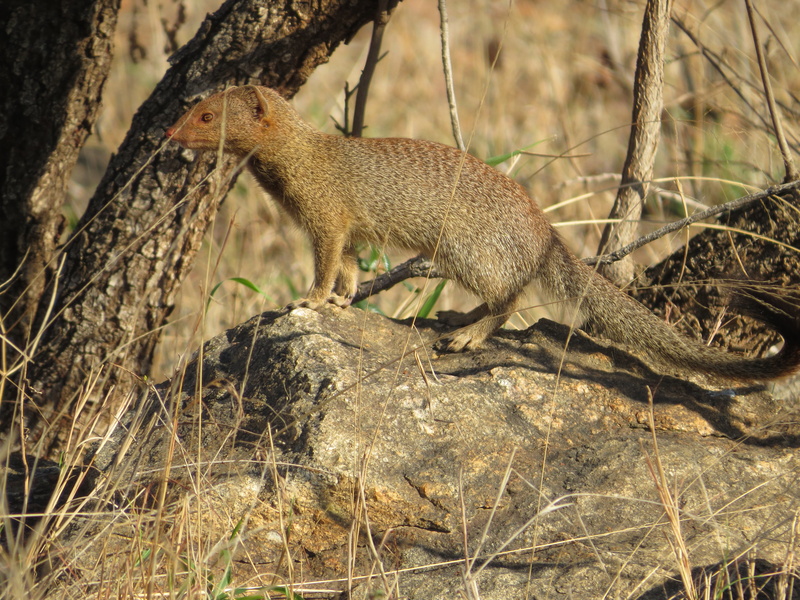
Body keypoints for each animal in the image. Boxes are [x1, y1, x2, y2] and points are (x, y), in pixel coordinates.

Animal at [166, 85, 800, 381]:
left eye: (204, 116)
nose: (168, 133)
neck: (298, 162)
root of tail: (544, 228)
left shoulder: (326, 213)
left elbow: (326, 262)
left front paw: (308, 302)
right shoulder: (347, 226)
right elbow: (347, 264)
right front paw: (343, 301)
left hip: (467, 246)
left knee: (510, 297)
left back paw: (467, 337)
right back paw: (456, 319)